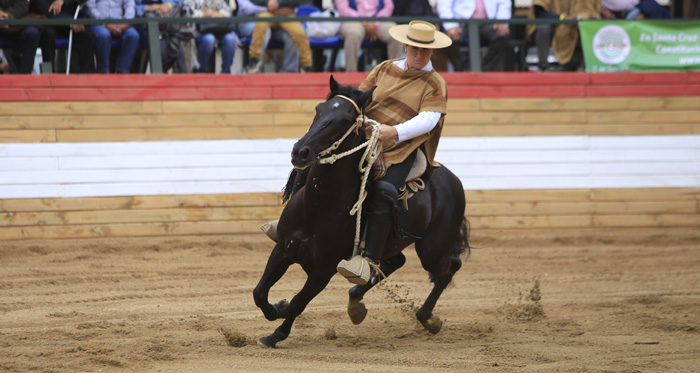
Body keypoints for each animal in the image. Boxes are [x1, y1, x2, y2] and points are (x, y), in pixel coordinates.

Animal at [253, 76, 470, 348]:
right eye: (318, 109)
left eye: (346, 120)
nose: (300, 151)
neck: (317, 208)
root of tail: (452, 179)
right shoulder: (283, 248)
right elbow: (260, 293)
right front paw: (276, 309)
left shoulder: (322, 271)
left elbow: (298, 303)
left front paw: (275, 335)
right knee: (396, 261)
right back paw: (357, 300)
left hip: (432, 249)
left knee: (451, 266)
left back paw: (427, 317)